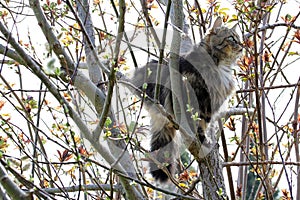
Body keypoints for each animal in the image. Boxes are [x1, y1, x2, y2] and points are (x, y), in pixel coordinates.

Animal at [131, 17, 241, 182]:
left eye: (239, 39)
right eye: (232, 38)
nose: (242, 47)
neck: (220, 65)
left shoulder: (209, 106)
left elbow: (204, 122)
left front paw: (205, 139)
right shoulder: (197, 96)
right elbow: (197, 123)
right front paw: (202, 138)